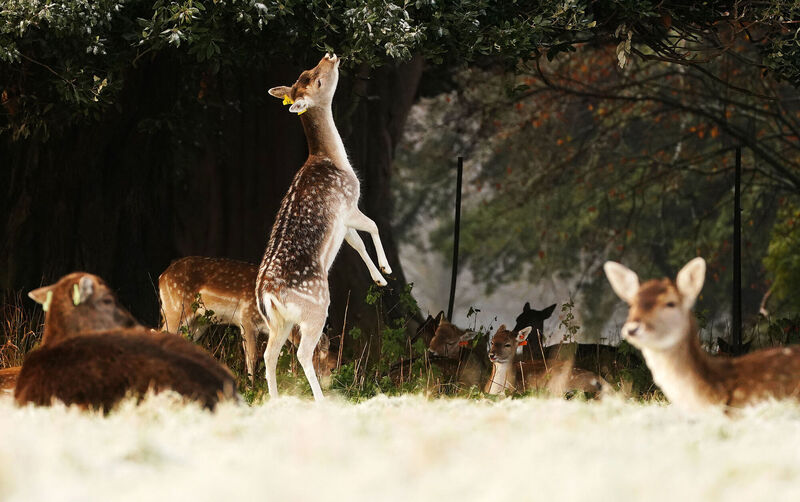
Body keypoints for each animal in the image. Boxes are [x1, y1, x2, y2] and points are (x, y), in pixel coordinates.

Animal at [159, 256, 337, 385]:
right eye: (332, 367)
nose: (330, 387)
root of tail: (162, 277)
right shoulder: (246, 320)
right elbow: (251, 358)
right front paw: (251, 387)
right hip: (175, 309)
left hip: (198, 323)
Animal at [257, 53, 391, 401]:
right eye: (316, 80)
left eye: (306, 72)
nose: (329, 55)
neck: (334, 159)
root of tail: (267, 294)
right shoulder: (349, 202)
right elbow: (373, 225)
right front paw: (386, 269)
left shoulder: (342, 223)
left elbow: (358, 243)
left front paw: (379, 278)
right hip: (315, 309)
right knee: (304, 353)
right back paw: (319, 398)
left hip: (278, 322)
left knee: (269, 354)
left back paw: (274, 399)